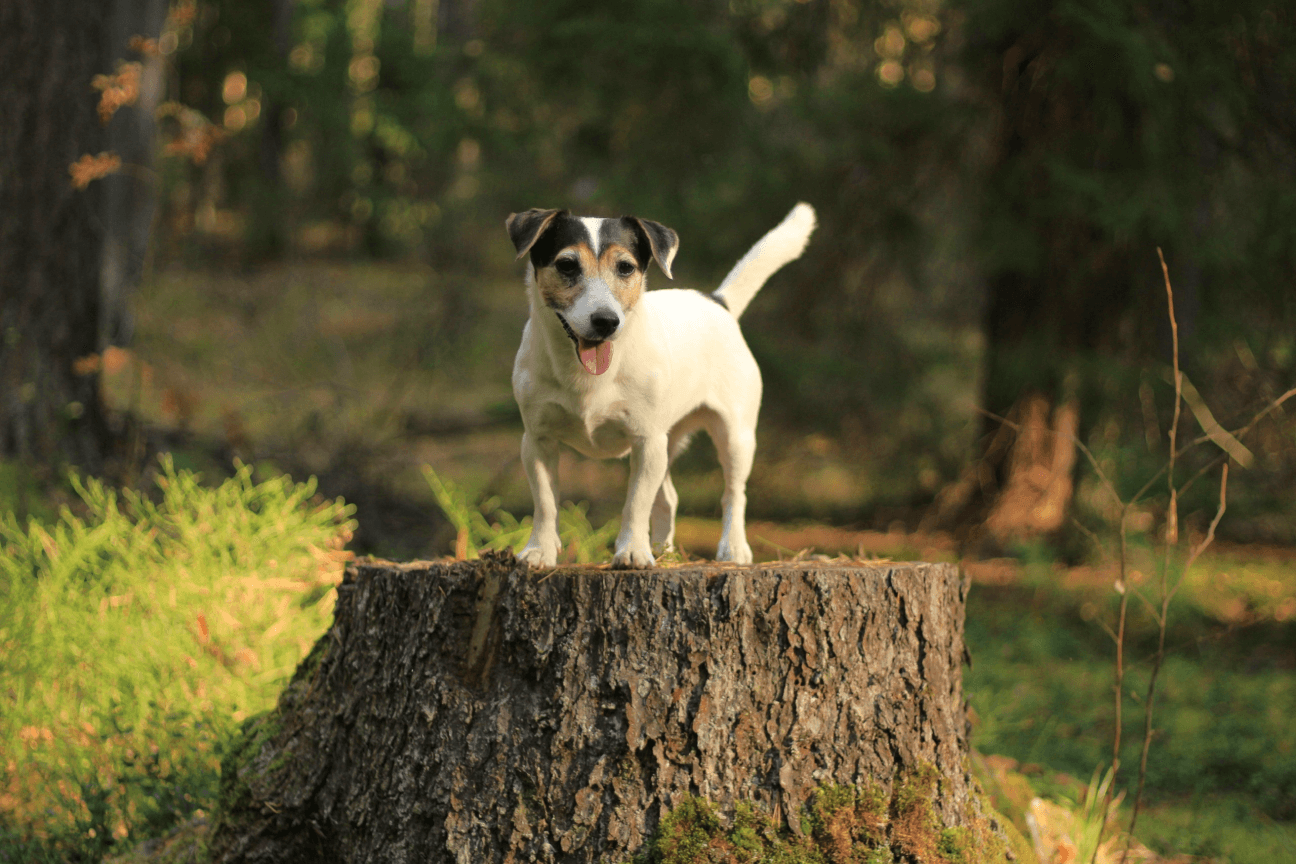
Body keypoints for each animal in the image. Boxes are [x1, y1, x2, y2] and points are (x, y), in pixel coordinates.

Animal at [502, 202, 813, 567]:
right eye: (566, 265)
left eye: (625, 267)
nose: (606, 321)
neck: (587, 376)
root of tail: (716, 301)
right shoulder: (538, 441)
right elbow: (545, 503)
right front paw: (539, 551)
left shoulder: (646, 440)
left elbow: (636, 503)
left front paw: (633, 551)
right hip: (668, 439)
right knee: (668, 498)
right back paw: (664, 551)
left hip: (734, 436)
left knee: (734, 493)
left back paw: (733, 548)